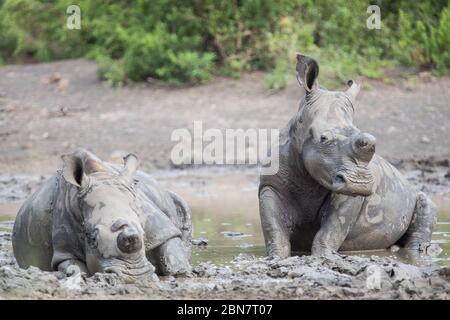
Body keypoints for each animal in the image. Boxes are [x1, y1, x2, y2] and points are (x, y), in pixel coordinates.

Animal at [12, 149, 192, 278]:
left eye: (143, 231)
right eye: (91, 238)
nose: (135, 276)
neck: (99, 176)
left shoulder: (158, 225)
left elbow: (172, 252)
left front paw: (180, 273)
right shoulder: (63, 248)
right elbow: (75, 268)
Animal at [258, 55, 438, 258]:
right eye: (323, 138)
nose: (360, 183)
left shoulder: (348, 193)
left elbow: (332, 229)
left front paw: (324, 257)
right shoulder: (270, 186)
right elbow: (274, 229)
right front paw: (276, 257)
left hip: (409, 192)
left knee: (426, 203)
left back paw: (418, 251)